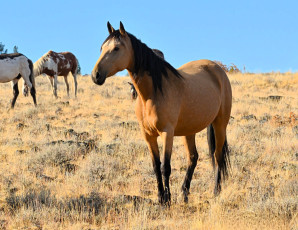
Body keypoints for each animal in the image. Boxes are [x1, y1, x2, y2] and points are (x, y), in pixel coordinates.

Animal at [91, 22, 233, 205]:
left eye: (116, 48)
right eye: (101, 48)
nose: (96, 75)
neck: (152, 93)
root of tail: (218, 69)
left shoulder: (167, 132)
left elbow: (166, 166)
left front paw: (167, 199)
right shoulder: (148, 135)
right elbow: (156, 166)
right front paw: (160, 197)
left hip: (220, 124)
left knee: (218, 156)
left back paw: (216, 191)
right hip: (190, 130)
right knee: (193, 157)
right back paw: (184, 193)